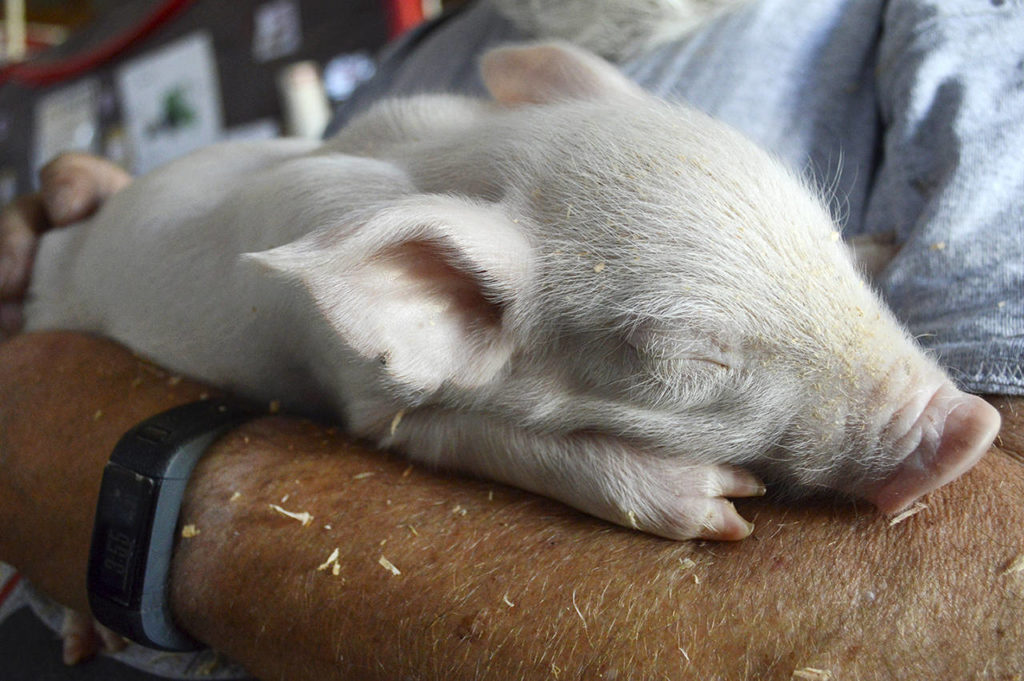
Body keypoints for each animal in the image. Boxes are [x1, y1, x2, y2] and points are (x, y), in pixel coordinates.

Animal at [25, 42, 1000, 542]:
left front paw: (888, 242)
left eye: (822, 229)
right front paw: (724, 504)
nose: (972, 426)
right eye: (687, 356)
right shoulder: (368, 398)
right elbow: (477, 441)